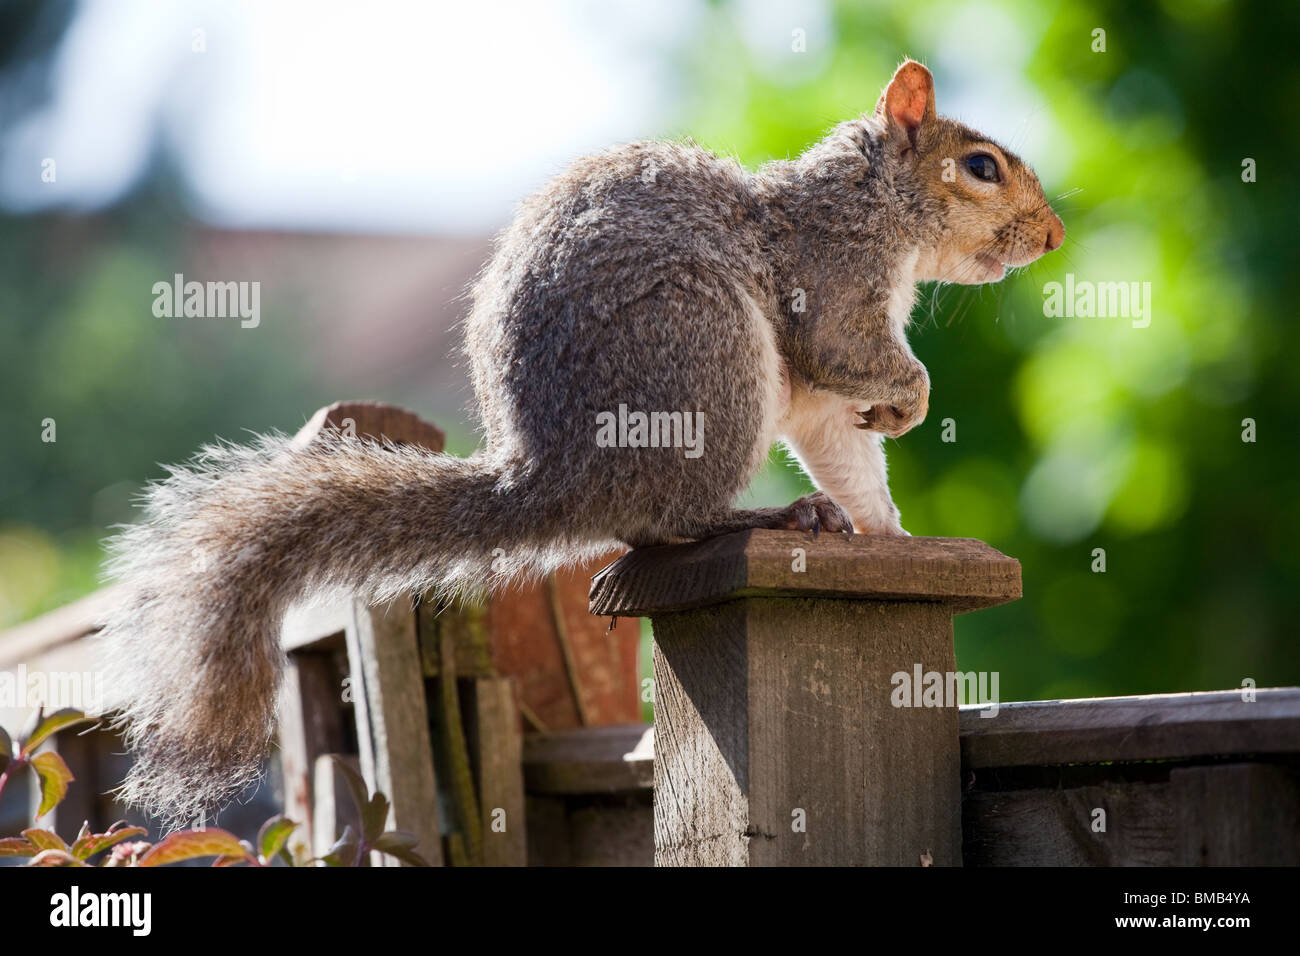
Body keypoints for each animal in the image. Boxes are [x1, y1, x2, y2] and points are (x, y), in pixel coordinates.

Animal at [101, 59, 1066, 822]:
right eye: (980, 167)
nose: (1054, 235)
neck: (874, 205)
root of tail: (557, 477)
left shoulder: (823, 403)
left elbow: (850, 455)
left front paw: (895, 536)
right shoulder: (832, 283)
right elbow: (847, 351)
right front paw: (911, 398)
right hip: (704, 355)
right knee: (669, 519)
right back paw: (769, 517)